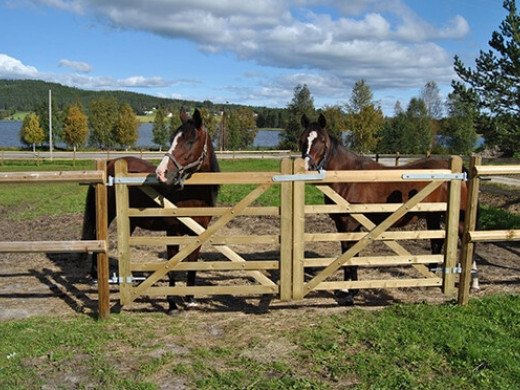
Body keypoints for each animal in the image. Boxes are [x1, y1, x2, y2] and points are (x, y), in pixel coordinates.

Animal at [298, 112, 478, 304]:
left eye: (322, 141)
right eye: (302, 139)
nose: (306, 168)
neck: (349, 177)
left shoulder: (350, 224)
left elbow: (351, 254)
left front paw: (350, 292)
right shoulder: (341, 224)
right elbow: (345, 253)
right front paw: (346, 289)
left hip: (458, 219)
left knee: (467, 241)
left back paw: (473, 283)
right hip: (433, 215)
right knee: (437, 242)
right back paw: (431, 279)